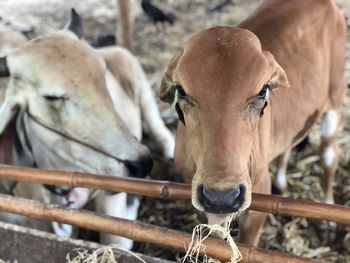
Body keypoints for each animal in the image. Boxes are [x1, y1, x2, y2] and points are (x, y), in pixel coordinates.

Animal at [160, 0, 346, 246]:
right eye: (181, 91)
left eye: (262, 91)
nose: (222, 197)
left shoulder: (258, 195)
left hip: (335, 97)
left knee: (328, 156)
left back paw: (327, 219)